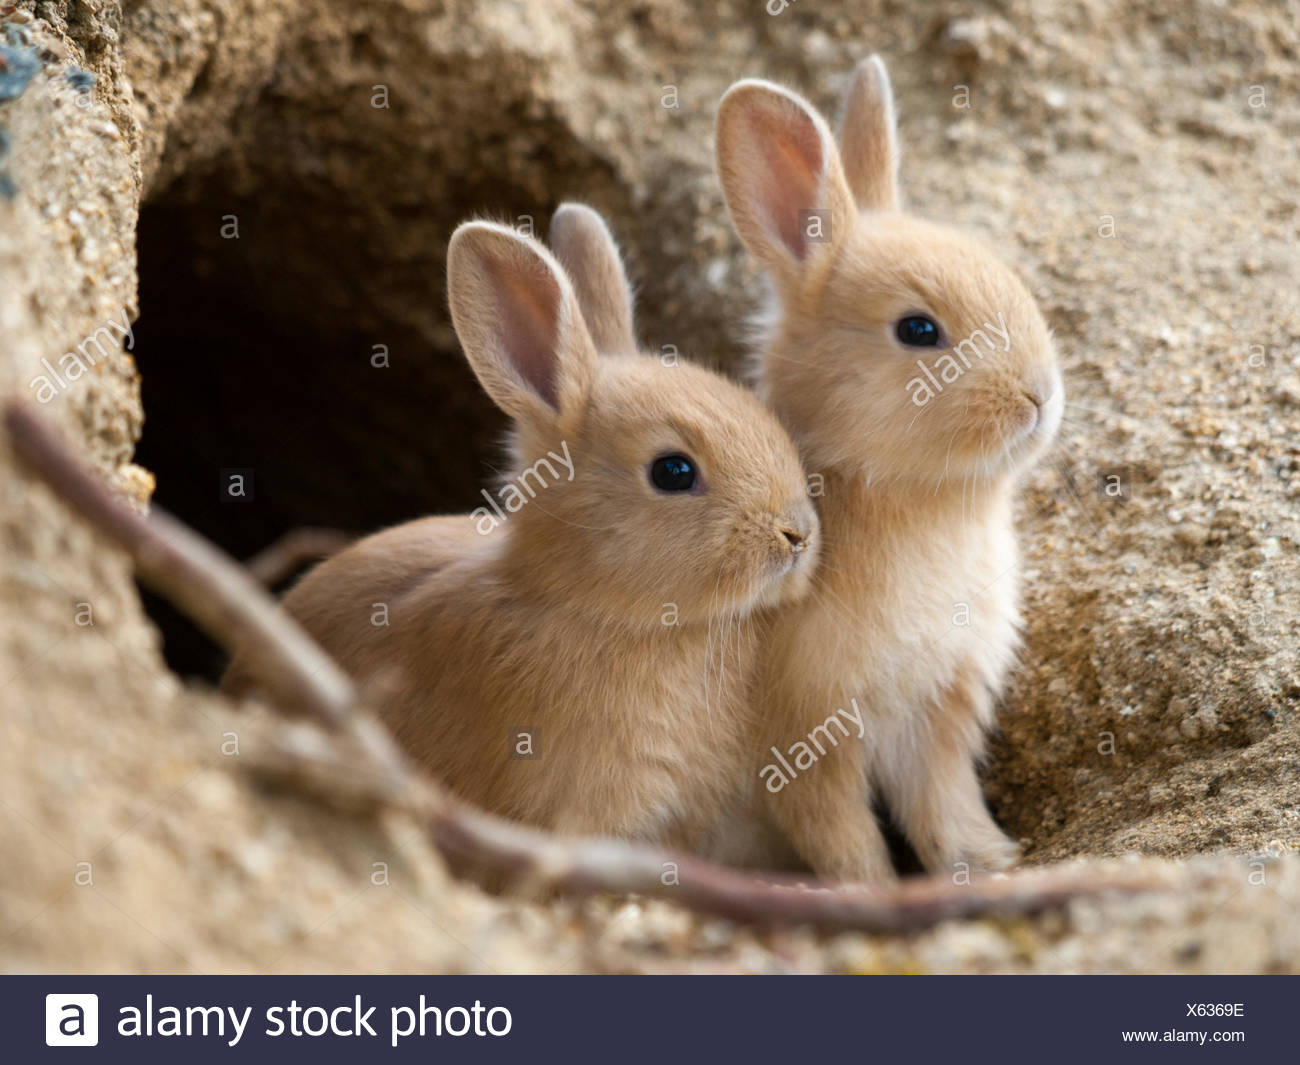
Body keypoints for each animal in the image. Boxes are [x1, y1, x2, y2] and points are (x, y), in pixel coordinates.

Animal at [714, 57, 1063, 884]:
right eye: (918, 329)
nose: (1040, 395)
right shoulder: (807, 736)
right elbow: (841, 830)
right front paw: (870, 887)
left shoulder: (939, 709)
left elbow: (944, 803)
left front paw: (990, 861)